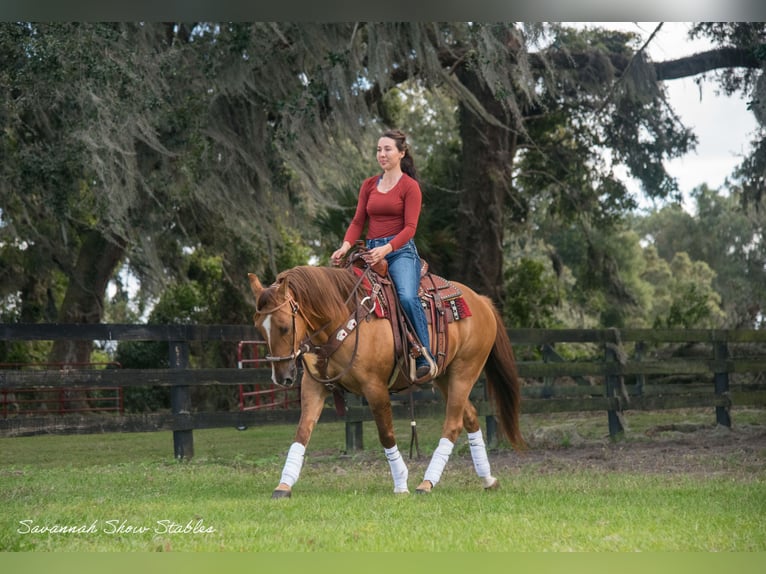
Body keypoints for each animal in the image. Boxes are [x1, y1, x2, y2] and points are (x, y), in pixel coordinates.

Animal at [249, 264, 524, 498]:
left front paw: (401, 483)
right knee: (470, 417)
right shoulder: (314, 386)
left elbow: (386, 434)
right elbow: (302, 433)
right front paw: (283, 486)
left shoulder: (375, 388)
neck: (343, 319)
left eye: (284, 327)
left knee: (453, 424)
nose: (281, 377)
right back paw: (487, 478)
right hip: (444, 377)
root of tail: (481, 301)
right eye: (260, 329)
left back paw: (426, 483)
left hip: (464, 372)